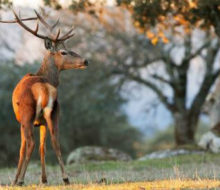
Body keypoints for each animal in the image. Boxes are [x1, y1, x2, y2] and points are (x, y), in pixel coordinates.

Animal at [0, 9, 89, 186]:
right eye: (63, 51)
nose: (85, 60)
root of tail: (45, 88)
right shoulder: (41, 122)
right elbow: (44, 148)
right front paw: (44, 179)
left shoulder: (21, 121)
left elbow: (22, 149)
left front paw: (15, 180)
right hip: (54, 113)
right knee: (55, 142)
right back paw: (66, 178)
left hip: (27, 114)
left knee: (31, 143)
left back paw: (21, 180)